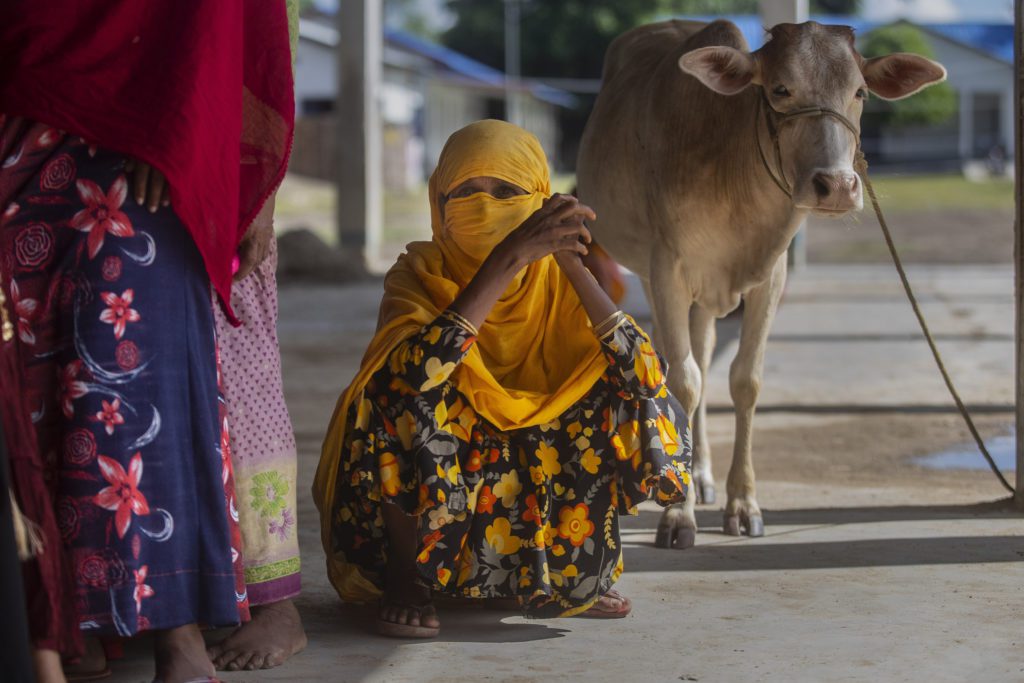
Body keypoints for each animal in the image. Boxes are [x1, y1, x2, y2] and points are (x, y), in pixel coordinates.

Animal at [577, 18, 942, 548]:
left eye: (860, 92)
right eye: (780, 89)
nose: (837, 186)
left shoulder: (770, 277)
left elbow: (744, 380)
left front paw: (743, 502)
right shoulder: (667, 268)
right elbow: (683, 379)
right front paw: (678, 514)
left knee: (705, 351)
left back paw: (701, 474)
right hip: (651, 273)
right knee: (680, 359)